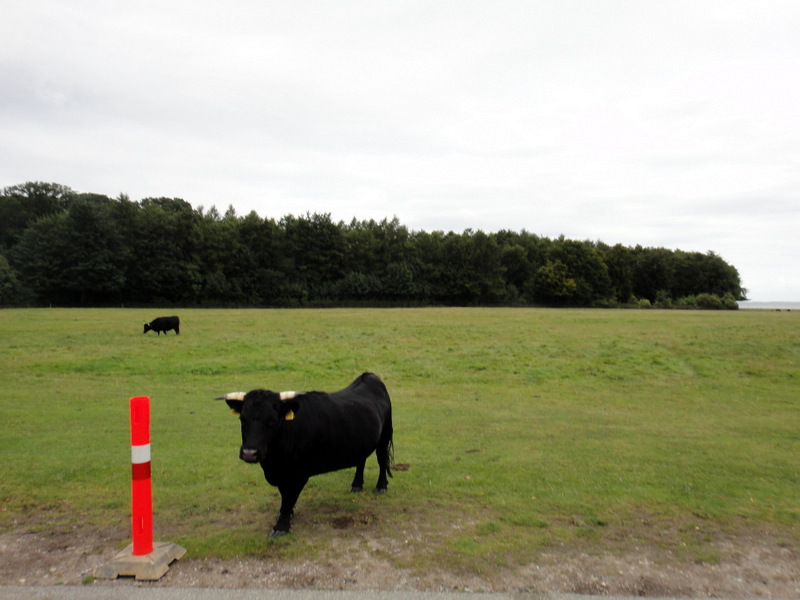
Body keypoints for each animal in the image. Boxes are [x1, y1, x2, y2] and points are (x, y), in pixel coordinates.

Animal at [216, 372, 394, 536]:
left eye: (272, 420)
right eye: (243, 419)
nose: (249, 453)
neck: (273, 463)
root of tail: (369, 376)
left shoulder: (300, 474)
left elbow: (289, 497)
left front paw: (281, 527)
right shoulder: (282, 475)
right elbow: (284, 495)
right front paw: (287, 514)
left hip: (384, 436)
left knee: (382, 460)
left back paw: (381, 486)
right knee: (361, 460)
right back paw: (356, 484)